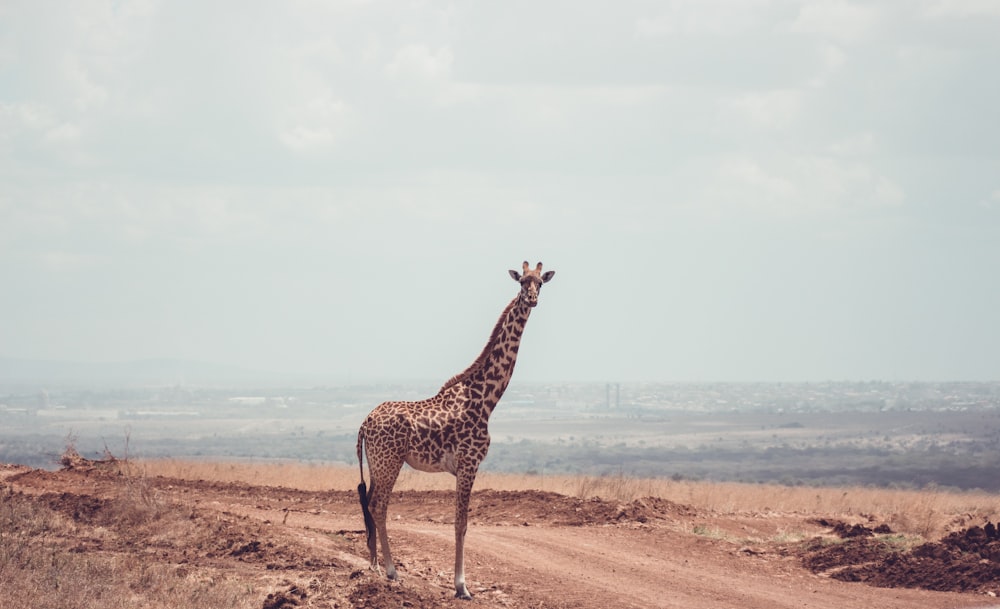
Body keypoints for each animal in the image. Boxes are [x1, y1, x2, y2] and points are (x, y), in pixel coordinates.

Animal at [352, 258, 556, 596]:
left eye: (540, 282)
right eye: (521, 281)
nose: (531, 299)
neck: (487, 399)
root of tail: (364, 424)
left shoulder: (465, 466)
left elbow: (462, 522)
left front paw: (461, 583)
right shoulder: (469, 463)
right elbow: (461, 522)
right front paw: (462, 586)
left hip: (375, 462)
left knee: (368, 501)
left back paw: (374, 564)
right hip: (389, 461)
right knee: (378, 505)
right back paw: (391, 570)